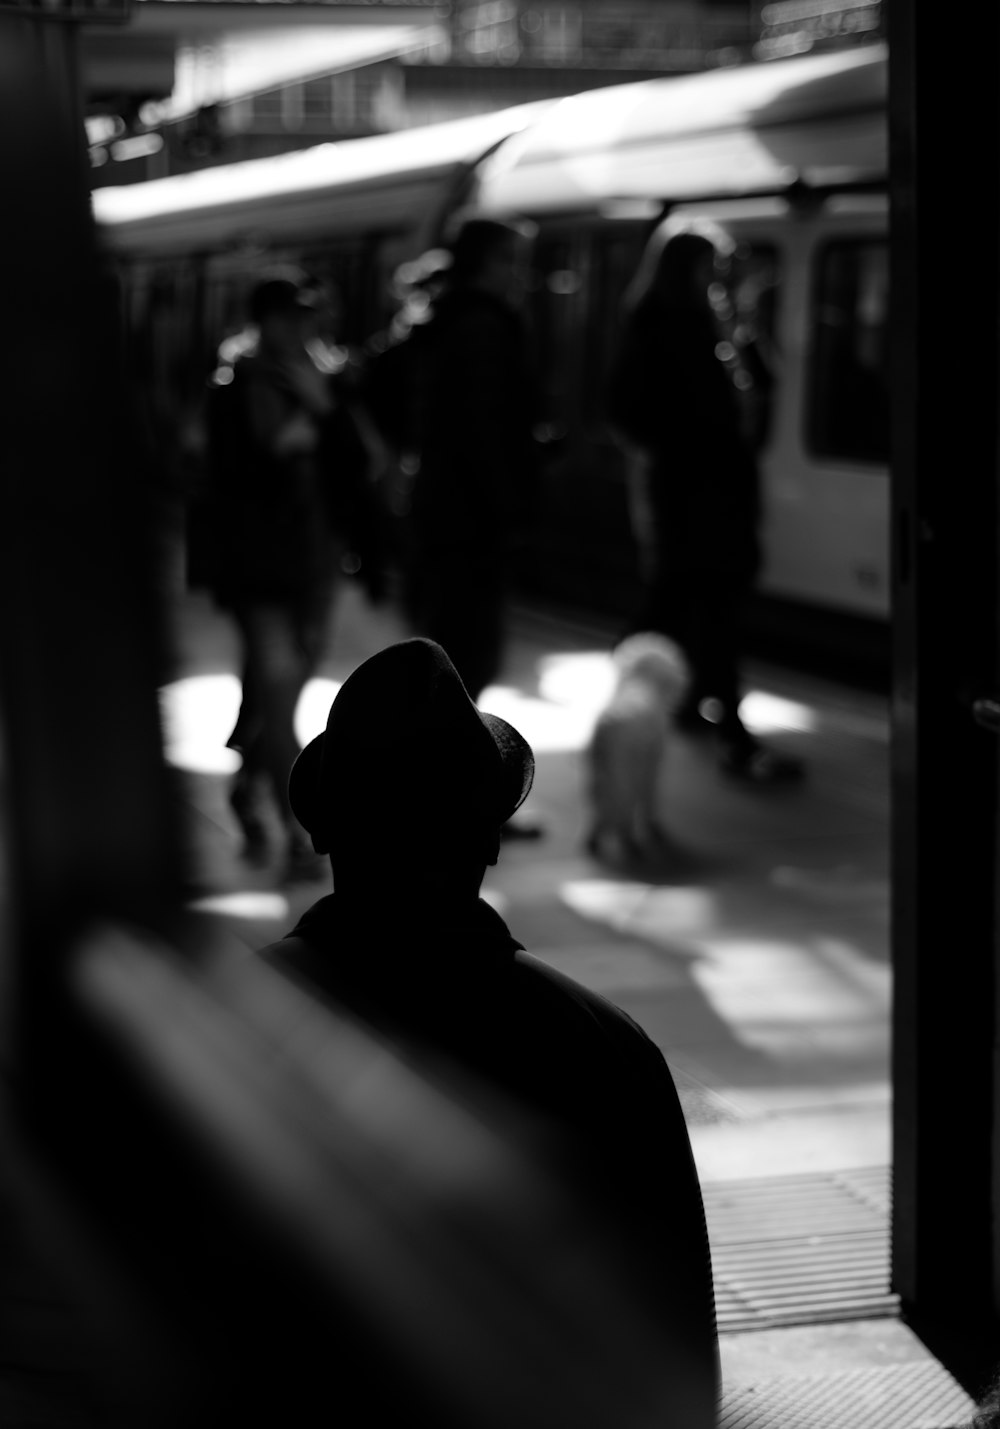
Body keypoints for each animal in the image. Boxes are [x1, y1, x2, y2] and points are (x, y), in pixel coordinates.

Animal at [585, 634, 688, 857]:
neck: (642, 682)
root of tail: (608, 728)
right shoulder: (650, 764)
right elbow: (648, 797)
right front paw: (653, 826)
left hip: (600, 771)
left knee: (601, 803)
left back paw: (595, 837)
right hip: (623, 773)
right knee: (622, 805)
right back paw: (629, 842)